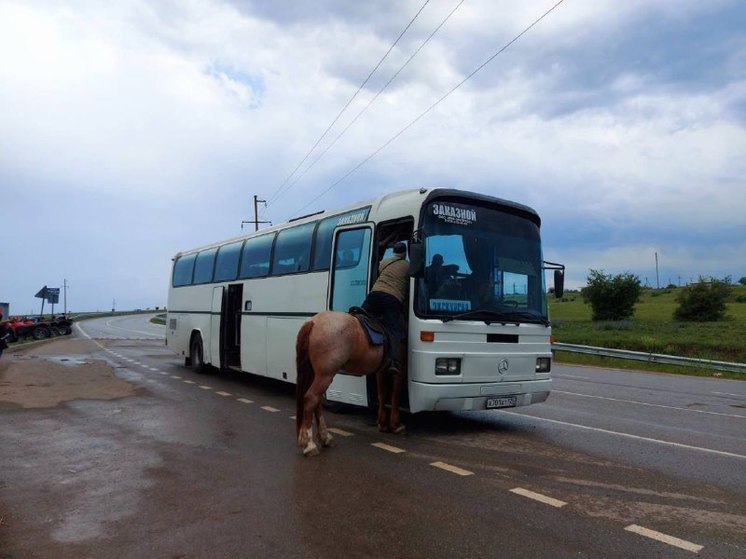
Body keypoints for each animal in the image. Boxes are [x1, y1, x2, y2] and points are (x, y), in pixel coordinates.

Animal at [294, 310, 404, 460]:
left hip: (316, 373)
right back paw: (309, 445)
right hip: (325, 375)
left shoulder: (381, 370)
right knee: (311, 398)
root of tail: (313, 322)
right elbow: (395, 394)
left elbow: (382, 393)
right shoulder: (399, 369)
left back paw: (325, 437)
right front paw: (395, 424)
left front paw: (382, 423)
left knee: (316, 401)